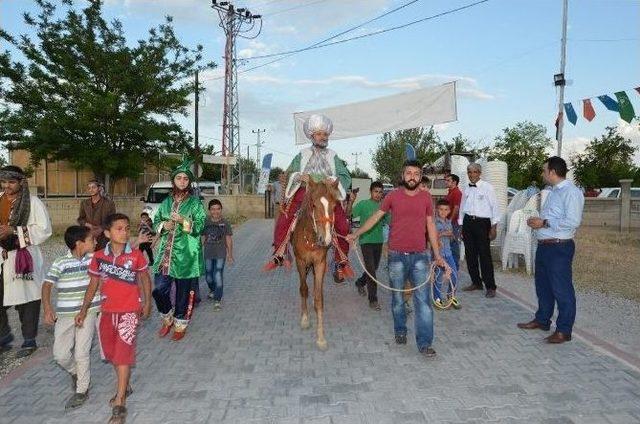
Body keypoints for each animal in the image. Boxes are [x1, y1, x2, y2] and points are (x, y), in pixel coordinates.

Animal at [288, 177, 340, 350]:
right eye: (314, 205)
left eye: (334, 206)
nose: (326, 239)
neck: (311, 236)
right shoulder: (300, 262)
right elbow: (304, 289)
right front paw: (305, 319)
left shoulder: (320, 263)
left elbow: (319, 298)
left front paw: (321, 337)